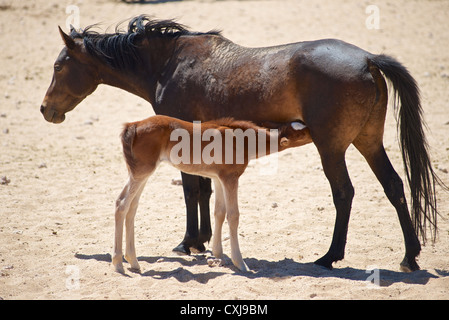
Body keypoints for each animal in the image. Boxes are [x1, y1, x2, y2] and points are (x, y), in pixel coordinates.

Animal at [40, 14, 442, 270]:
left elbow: (192, 190)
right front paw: (203, 241)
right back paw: (409, 256)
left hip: (331, 148)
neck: (169, 63)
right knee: (394, 186)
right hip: (368, 141)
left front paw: (190, 241)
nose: (45, 109)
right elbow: (205, 191)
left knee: (344, 194)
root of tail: (368, 59)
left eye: (59, 66)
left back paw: (329, 257)